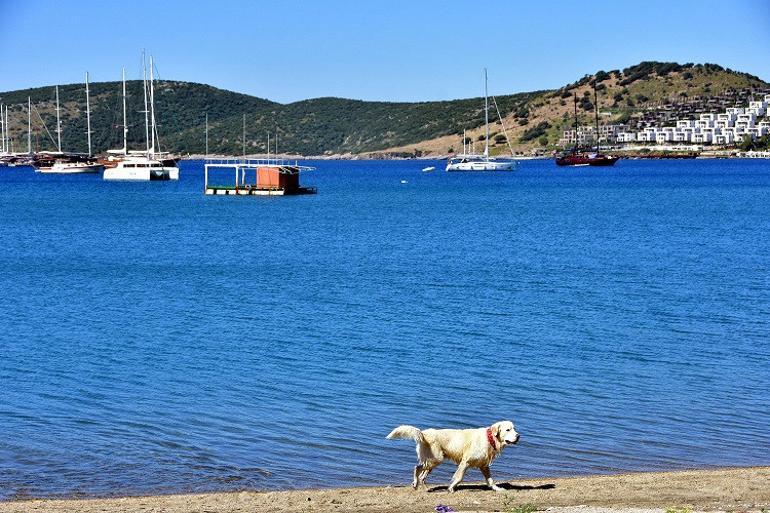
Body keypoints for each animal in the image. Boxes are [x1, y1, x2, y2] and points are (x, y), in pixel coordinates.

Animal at [388, 420, 520, 492]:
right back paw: (415, 484)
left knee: (422, 475)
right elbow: (459, 477)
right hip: (436, 459)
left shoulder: (484, 465)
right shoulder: (465, 462)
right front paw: (451, 488)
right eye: (508, 430)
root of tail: (424, 433)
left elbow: (491, 480)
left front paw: (497, 489)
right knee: (417, 468)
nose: (519, 436)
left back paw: (424, 488)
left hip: (432, 462)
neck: (489, 438)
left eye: (514, 429)